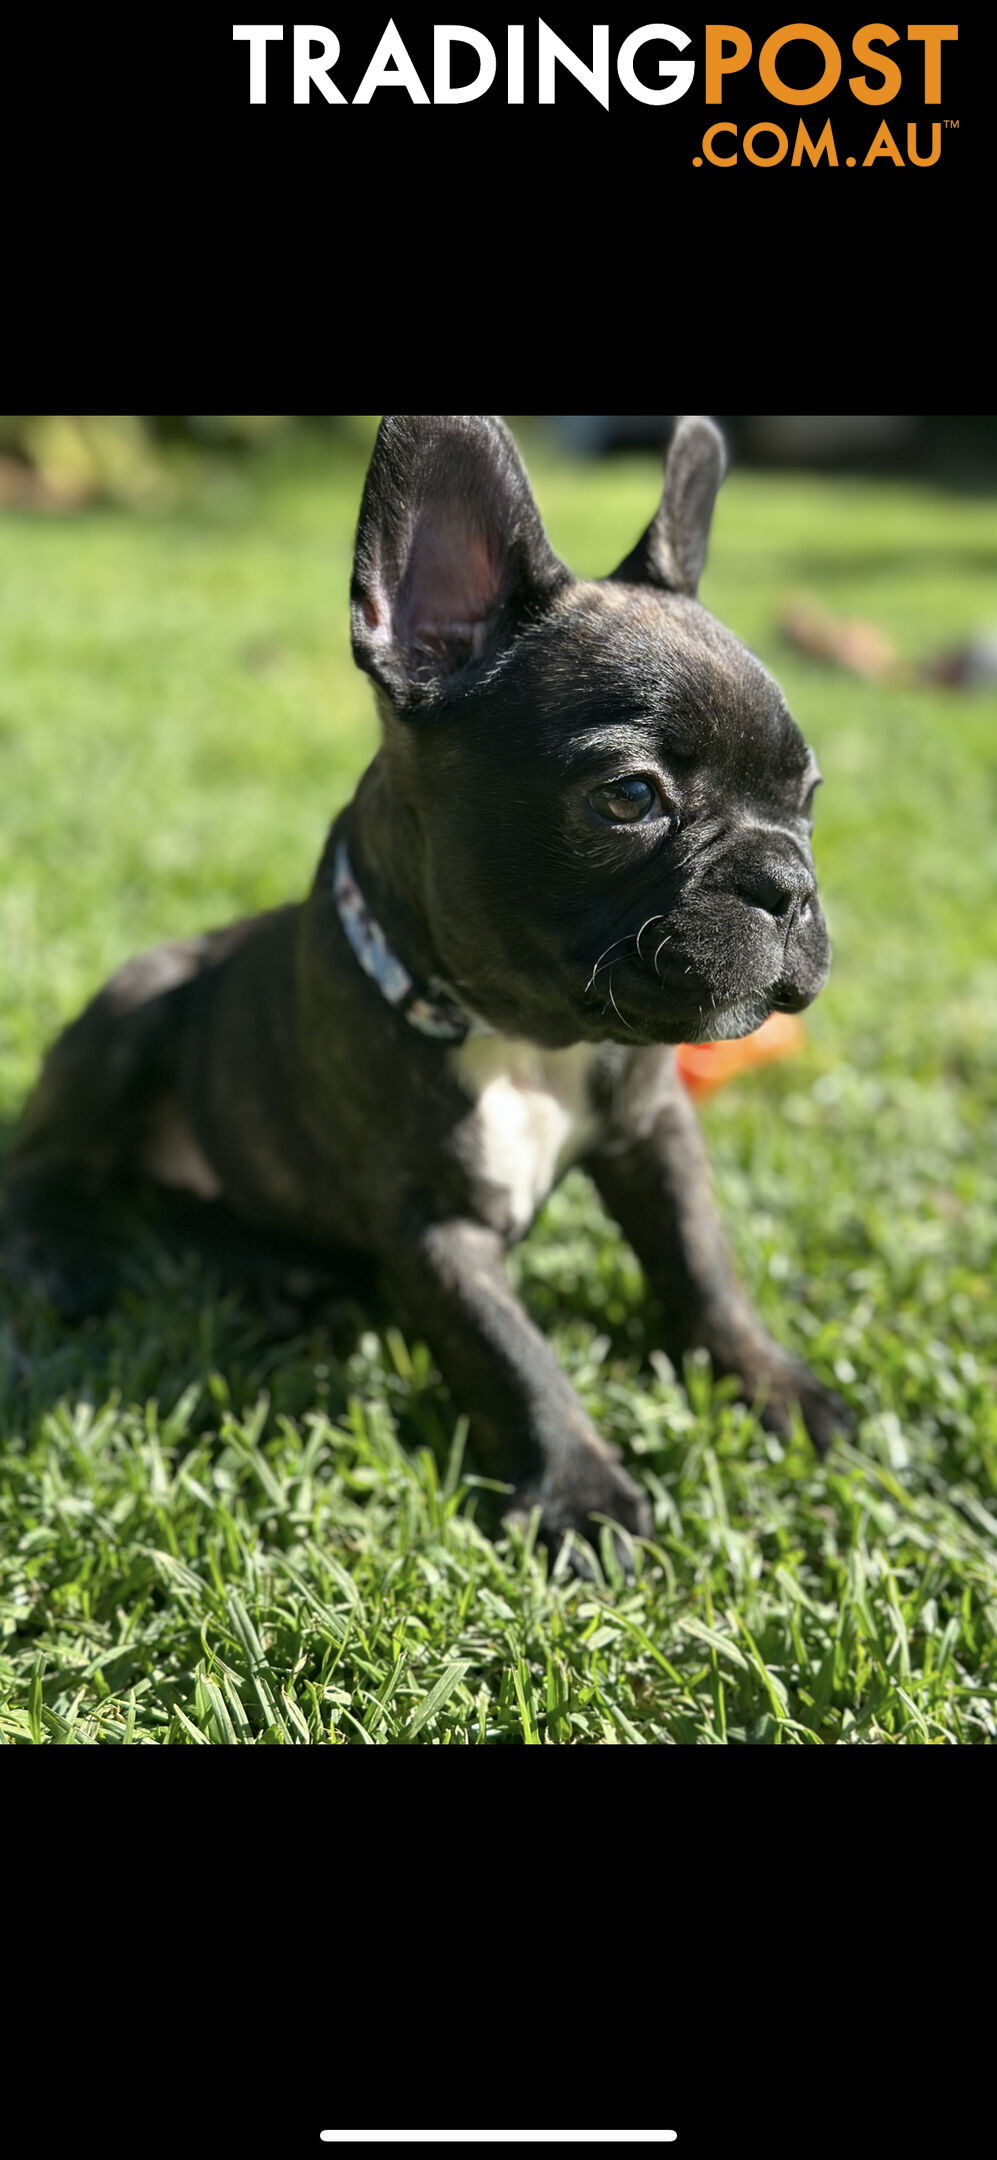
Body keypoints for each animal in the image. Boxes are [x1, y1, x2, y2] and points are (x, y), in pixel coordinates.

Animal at [3, 421, 854, 1563]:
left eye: (807, 800)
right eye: (630, 797)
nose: (786, 885)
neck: (525, 1037)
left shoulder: (654, 1132)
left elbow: (698, 1260)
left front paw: (770, 1384)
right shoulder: (430, 1228)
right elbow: (511, 1352)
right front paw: (582, 1494)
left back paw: (282, 1277)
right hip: (137, 1005)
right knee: (44, 1168)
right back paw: (65, 1257)